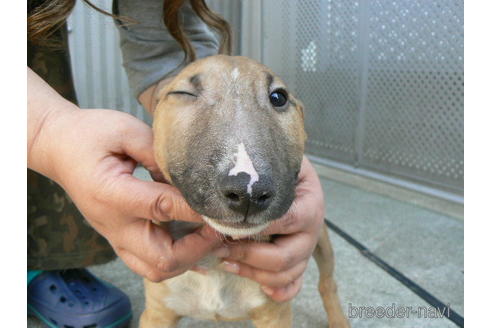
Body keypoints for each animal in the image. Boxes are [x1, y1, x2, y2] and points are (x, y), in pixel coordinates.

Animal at [141, 55, 350, 328]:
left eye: (279, 97)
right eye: (184, 93)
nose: (248, 191)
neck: (216, 264)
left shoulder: (276, 314)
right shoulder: (156, 314)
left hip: (320, 237)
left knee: (327, 283)